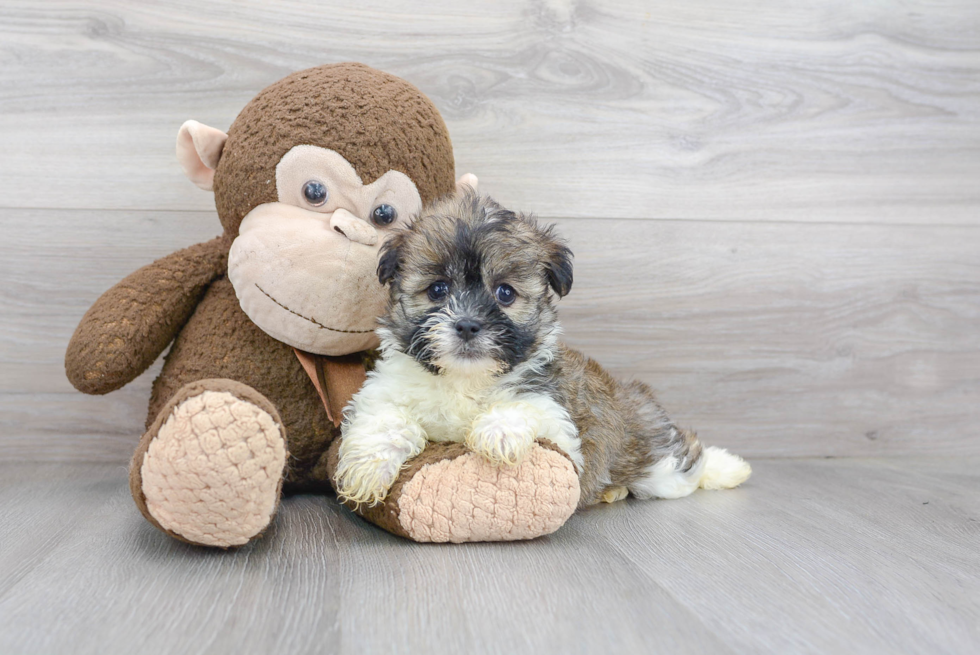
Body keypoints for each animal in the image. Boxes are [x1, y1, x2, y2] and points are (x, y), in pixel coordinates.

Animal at [334, 192, 756, 510]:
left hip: (655, 457)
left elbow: (526, 407)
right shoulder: (384, 392)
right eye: (437, 289)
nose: (468, 325)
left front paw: (497, 434)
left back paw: (728, 467)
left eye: (505, 293)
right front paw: (367, 469)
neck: (464, 378)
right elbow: (386, 419)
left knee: (683, 458)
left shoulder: (559, 418)